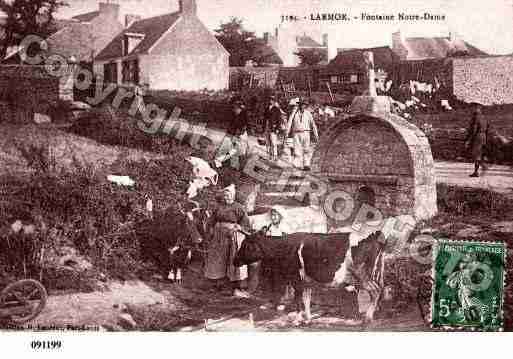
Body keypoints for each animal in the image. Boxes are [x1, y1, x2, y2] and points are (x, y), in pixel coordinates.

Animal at [232, 229, 384, 324]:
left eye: (245, 245)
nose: (234, 260)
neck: (283, 247)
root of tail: (374, 236)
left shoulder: (296, 280)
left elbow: (298, 301)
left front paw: (297, 320)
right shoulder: (306, 281)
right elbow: (306, 299)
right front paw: (307, 319)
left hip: (361, 274)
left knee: (376, 291)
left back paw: (368, 318)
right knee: (378, 290)